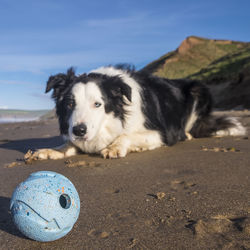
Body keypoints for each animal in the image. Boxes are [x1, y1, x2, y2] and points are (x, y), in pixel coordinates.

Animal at [29, 65, 246, 159]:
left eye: (97, 104)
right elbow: (69, 143)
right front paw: (52, 150)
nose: (79, 131)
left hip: (198, 90)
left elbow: (126, 135)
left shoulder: (161, 133)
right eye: (69, 104)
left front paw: (115, 147)